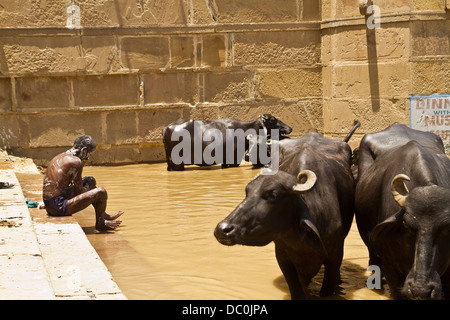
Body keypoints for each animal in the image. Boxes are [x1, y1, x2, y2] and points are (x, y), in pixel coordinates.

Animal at [162, 114, 292, 171]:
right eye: (272, 120)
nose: (289, 128)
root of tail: (166, 128)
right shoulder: (234, 160)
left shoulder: (225, 161)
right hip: (177, 163)